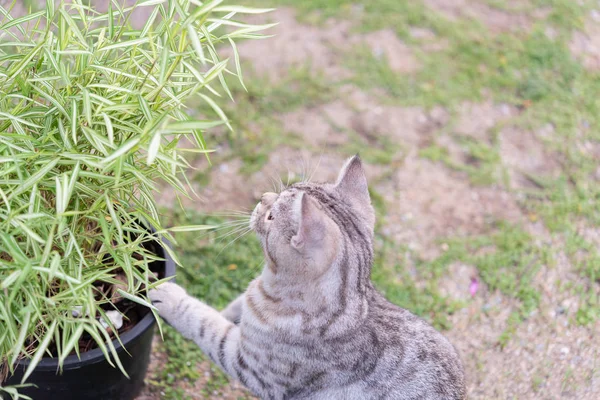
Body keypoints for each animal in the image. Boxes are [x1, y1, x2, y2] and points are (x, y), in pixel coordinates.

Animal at [148, 156, 466, 400]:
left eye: (272, 216)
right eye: (284, 190)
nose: (262, 198)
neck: (269, 284)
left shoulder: (249, 366)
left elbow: (205, 323)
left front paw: (169, 296)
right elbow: (232, 307)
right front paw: (227, 310)